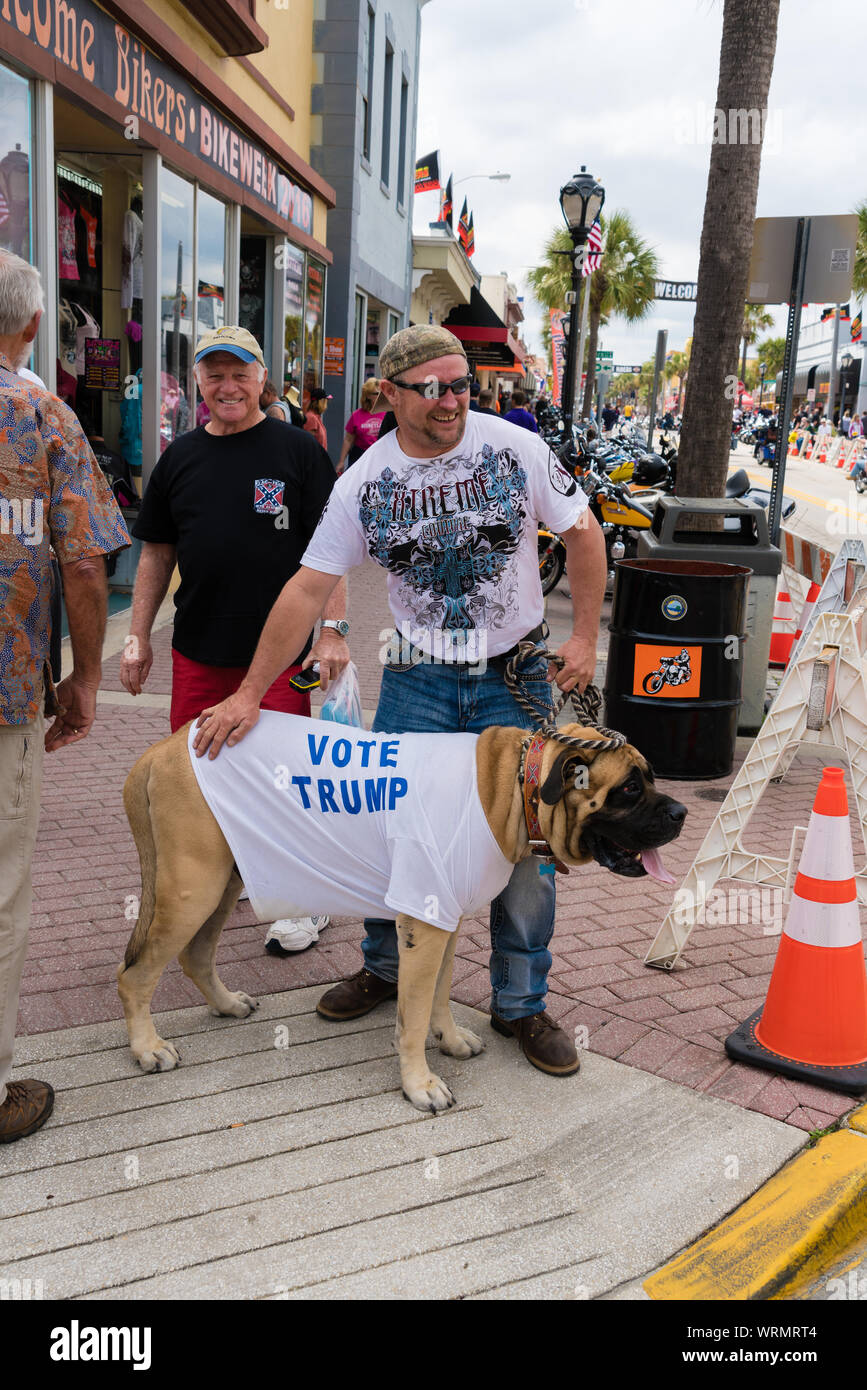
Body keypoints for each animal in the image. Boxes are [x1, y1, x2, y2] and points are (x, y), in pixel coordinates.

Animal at [118, 722, 686, 1112]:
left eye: (651, 779)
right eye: (630, 788)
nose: (680, 812)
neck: (509, 790)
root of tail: (159, 751)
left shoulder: (444, 918)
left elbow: (439, 994)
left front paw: (451, 1041)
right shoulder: (424, 926)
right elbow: (411, 1016)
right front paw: (420, 1084)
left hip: (227, 877)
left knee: (195, 955)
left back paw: (226, 1005)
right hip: (193, 887)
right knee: (135, 974)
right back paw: (148, 1049)